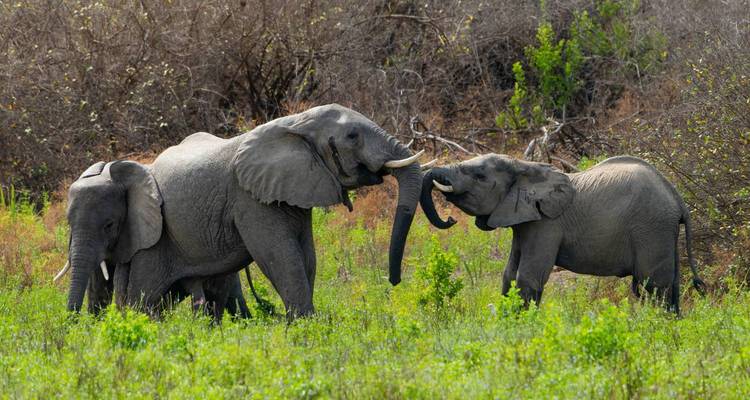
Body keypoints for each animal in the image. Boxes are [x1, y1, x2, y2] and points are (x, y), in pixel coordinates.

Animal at [56, 104, 424, 319]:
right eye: (352, 136)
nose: (394, 281)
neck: (293, 124)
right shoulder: (251, 200)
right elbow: (280, 256)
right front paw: (306, 330)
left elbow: (306, 257)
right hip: (155, 241)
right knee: (143, 298)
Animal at [420, 154, 706, 313]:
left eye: (479, 175)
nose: (450, 219)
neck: (525, 166)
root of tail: (678, 200)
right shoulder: (524, 221)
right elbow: (509, 275)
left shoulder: (547, 225)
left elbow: (527, 277)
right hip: (663, 232)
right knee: (668, 287)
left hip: (652, 227)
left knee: (653, 286)